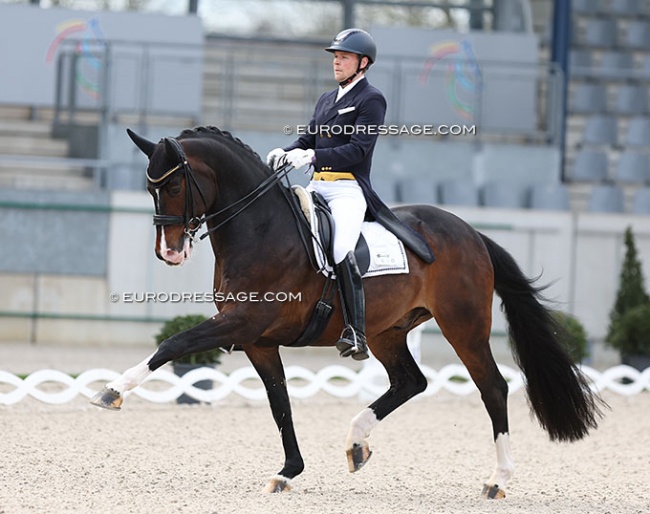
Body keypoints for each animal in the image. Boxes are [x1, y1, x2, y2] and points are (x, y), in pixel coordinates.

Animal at [88, 126, 600, 498]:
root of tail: (471, 233)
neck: (261, 229)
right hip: (389, 331)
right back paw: (357, 442)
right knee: (410, 382)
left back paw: (498, 480)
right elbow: (279, 402)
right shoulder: (257, 340)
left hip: (464, 326)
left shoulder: (240, 323)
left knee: (492, 387)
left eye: (175, 183)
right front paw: (289, 471)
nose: (169, 253)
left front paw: (111, 391)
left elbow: (173, 343)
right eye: (150, 187)